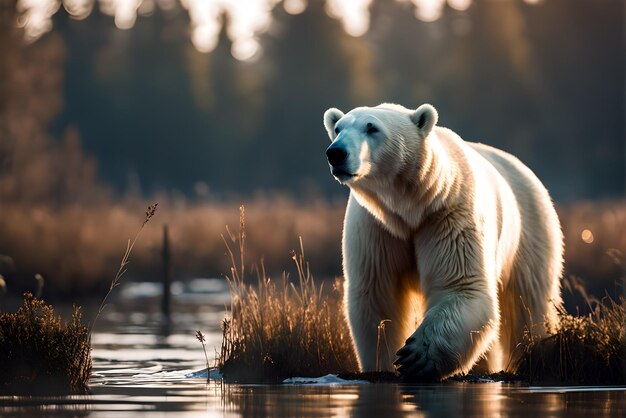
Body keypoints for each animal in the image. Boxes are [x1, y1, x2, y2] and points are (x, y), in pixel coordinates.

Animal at [322, 103, 560, 380]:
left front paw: (416, 356)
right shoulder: (376, 227)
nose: (335, 153)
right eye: (338, 128)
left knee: (529, 303)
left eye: (372, 128)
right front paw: (382, 364)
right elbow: (377, 295)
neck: (410, 207)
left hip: (530, 227)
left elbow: (461, 286)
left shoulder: (448, 215)